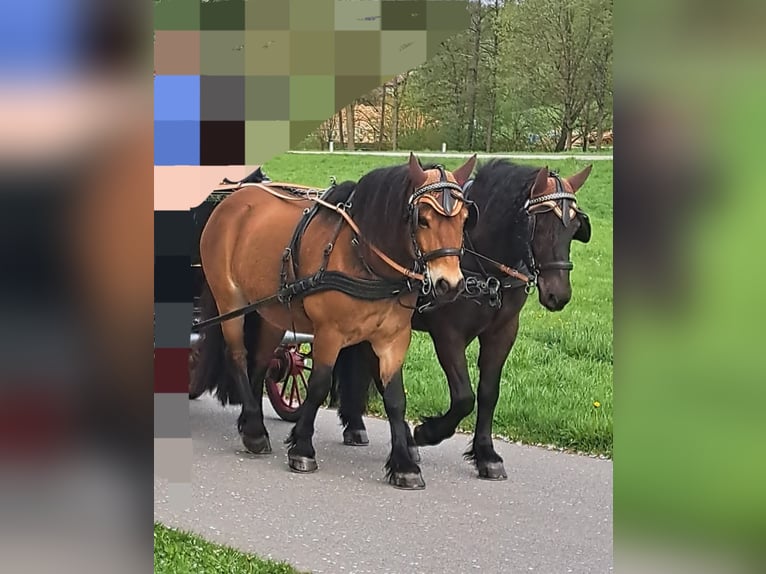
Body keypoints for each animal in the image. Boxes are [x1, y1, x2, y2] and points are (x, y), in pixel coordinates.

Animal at [192, 153, 477, 489]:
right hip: (230, 300)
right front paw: (302, 448)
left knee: (260, 363)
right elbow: (318, 386)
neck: (364, 256)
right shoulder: (329, 333)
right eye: (423, 218)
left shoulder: (393, 338)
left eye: (465, 218)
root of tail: (232, 201)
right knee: (237, 355)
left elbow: (395, 399)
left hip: (273, 311)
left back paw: (251, 424)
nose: (450, 284)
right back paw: (254, 430)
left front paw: (404, 464)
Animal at [331, 159, 593, 480]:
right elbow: (463, 397)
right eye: (540, 223)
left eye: (575, 226)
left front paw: (486, 454)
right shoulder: (448, 334)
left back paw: (361, 426)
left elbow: (488, 392)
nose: (559, 294)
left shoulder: (503, 332)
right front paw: (427, 432)